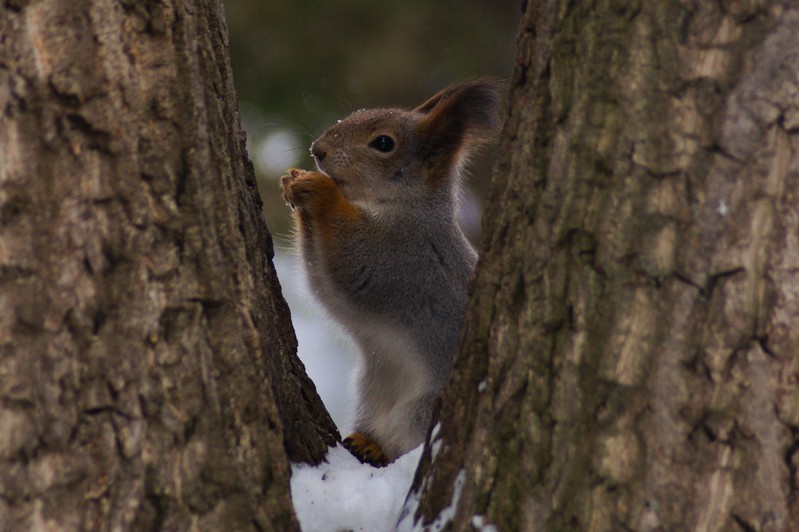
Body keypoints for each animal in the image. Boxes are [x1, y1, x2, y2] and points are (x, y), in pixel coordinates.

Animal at [282, 79, 504, 466]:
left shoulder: (402, 258)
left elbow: (352, 264)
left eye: (383, 143)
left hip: (422, 409)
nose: (317, 150)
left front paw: (320, 191)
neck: (405, 208)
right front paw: (294, 183)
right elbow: (323, 284)